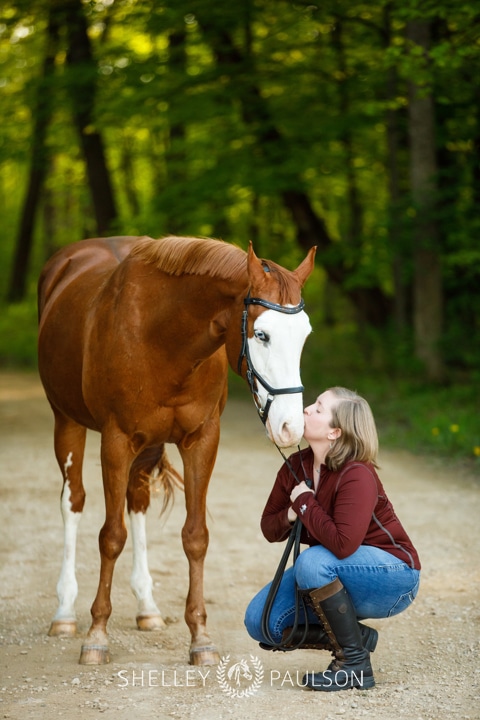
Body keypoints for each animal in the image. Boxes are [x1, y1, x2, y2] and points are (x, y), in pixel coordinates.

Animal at [37, 235, 316, 664]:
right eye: (262, 335)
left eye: (304, 336)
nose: (291, 427)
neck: (163, 338)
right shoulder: (115, 440)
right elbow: (110, 536)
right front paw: (96, 634)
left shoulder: (201, 440)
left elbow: (195, 536)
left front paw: (200, 637)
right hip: (66, 421)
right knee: (74, 502)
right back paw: (65, 612)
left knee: (136, 500)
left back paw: (147, 607)